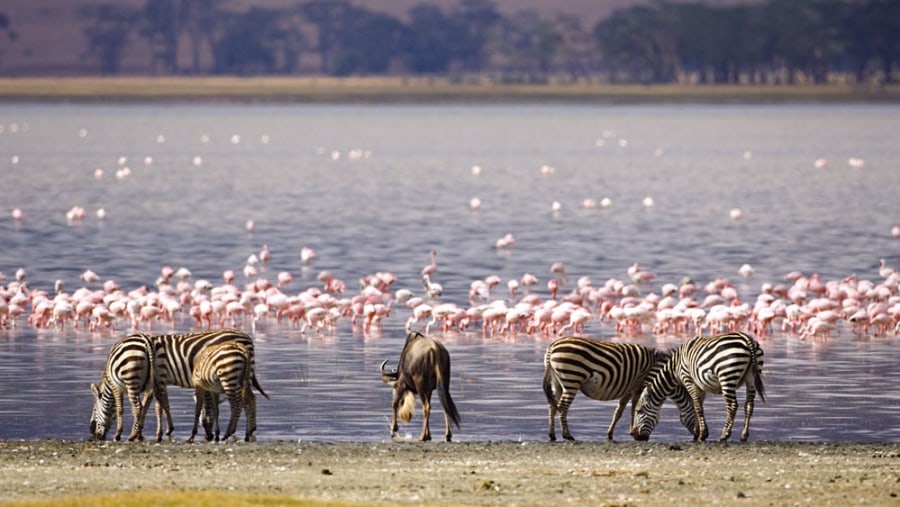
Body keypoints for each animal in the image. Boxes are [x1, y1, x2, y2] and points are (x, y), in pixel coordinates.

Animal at [540, 340, 696, 442]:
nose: (698, 435)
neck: (657, 370)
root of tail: (552, 347)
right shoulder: (639, 386)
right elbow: (634, 408)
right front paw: (634, 431)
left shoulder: (629, 388)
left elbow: (619, 411)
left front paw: (611, 434)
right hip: (572, 379)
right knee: (562, 407)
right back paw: (567, 435)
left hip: (557, 383)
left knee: (552, 406)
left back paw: (552, 435)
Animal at [632, 332, 768, 442]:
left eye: (639, 411)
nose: (634, 435)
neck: (675, 368)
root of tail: (746, 338)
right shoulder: (700, 385)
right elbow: (698, 406)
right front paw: (701, 432)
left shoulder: (688, 379)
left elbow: (697, 407)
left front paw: (701, 435)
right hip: (751, 377)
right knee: (749, 405)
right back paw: (744, 435)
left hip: (727, 375)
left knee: (732, 405)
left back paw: (724, 435)